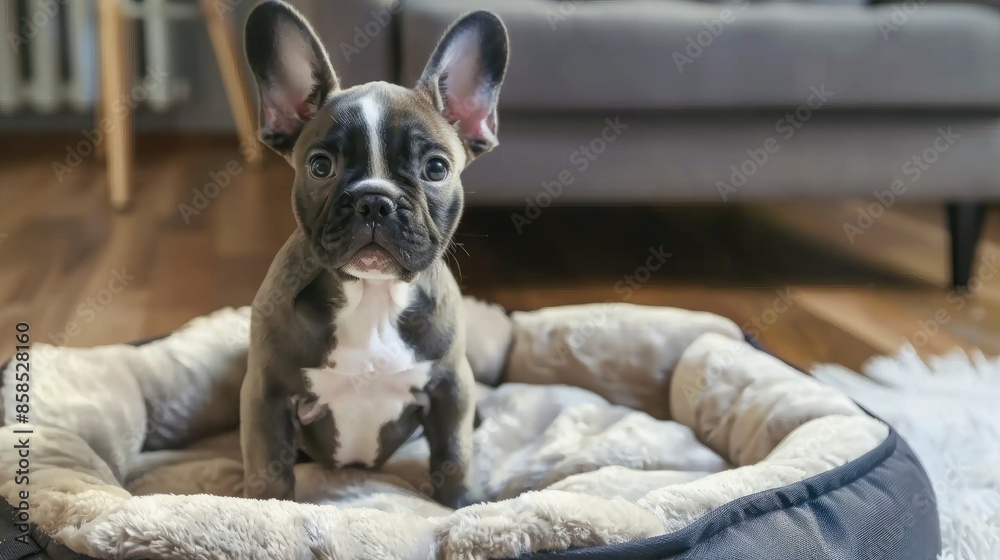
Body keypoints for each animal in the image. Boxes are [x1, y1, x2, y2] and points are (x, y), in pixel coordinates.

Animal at [240, 0, 508, 508]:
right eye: (320, 166)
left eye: (436, 168)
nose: (375, 200)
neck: (372, 296)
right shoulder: (266, 396)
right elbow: (270, 472)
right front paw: (268, 510)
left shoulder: (450, 390)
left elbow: (453, 455)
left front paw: (463, 504)